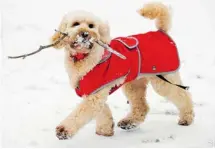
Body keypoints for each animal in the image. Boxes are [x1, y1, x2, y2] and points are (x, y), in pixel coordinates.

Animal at [50, 2, 195, 140]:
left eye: (91, 26)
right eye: (76, 24)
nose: (85, 34)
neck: (83, 57)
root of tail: (161, 32)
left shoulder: (95, 94)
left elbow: (80, 113)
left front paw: (64, 130)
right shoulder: (94, 91)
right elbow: (102, 111)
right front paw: (105, 130)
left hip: (163, 80)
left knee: (183, 95)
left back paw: (187, 117)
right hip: (134, 83)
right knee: (141, 106)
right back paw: (129, 122)